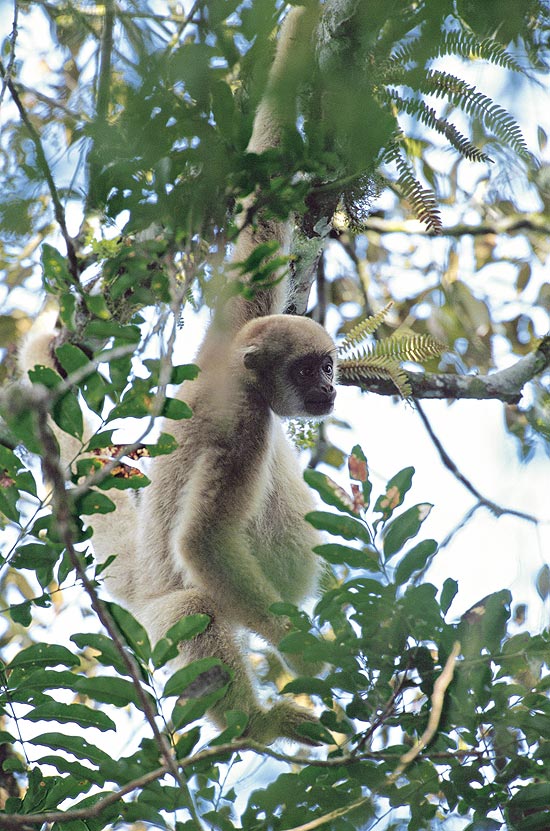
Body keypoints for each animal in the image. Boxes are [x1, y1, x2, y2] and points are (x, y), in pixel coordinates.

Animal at [19, 4, 336, 748]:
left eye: (329, 364)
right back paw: (259, 722)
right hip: (161, 618)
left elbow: (264, 180)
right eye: (309, 369)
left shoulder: (237, 321)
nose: (331, 389)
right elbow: (203, 547)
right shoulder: (240, 423)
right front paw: (313, 658)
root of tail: (135, 581)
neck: (240, 375)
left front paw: (301, 25)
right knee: (193, 598)